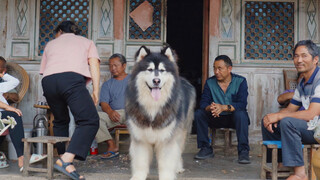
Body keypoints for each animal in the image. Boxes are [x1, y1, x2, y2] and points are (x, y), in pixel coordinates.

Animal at [125, 46, 195, 180]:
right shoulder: (140, 137)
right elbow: (140, 161)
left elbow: (167, 162)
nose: (156, 80)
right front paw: (138, 176)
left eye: (162, 70)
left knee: (178, 150)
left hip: (181, 131)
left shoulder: (167, 138)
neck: (153, 105)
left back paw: (178, 167)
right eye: (150, 69)